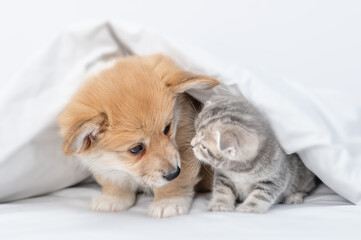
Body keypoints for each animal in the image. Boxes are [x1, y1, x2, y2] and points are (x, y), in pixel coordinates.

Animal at [57, 54, 218, 218]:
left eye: (167, 128)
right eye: (136, 149)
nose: (174, 173)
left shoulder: (185, 144)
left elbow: (176, 182)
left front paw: (168, 202)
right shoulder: (105, 166)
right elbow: (114, 181)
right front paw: (113, 198)